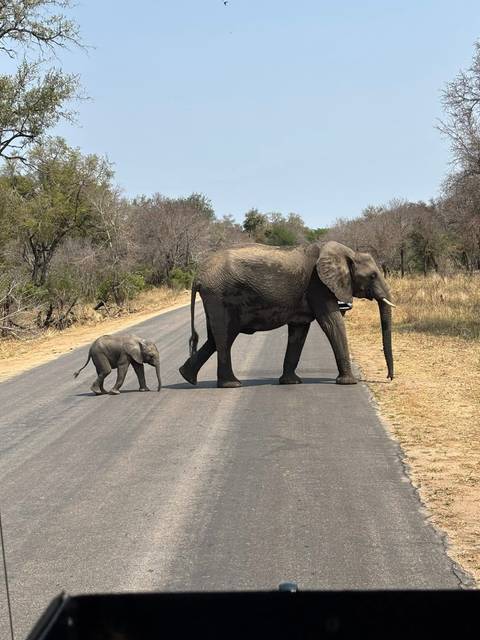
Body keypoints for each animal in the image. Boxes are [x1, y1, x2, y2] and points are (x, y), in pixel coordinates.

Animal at [179, 241, 395, 388]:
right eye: (373, 276)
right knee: (224, 336)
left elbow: (299, 331)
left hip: (216, 299)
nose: (388, 378)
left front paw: (291, 382)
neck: (347, 253)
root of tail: (198, 277)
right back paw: (231, 384)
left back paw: (187, 376)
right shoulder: (318, 286)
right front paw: (349, 383)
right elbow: (331, 324)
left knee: (216, 338)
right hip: (219, 297)